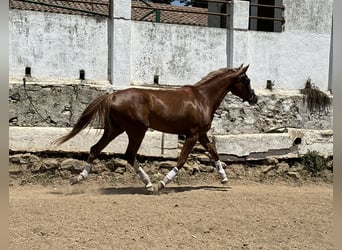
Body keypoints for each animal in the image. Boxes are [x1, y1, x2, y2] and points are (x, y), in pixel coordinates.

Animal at [53, 64, 256, 191]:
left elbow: (214, 152)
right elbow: (182, 160)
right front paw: (162, 184)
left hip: (115, 129)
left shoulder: (201, 134)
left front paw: (224, 178)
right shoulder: (192, 135)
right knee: (129, 154)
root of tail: (113, 95)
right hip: (136, 130)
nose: (254, 98)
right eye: (246, 80)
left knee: (95, 149)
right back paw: (149, 184)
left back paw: (78, 178)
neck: (203, 98)